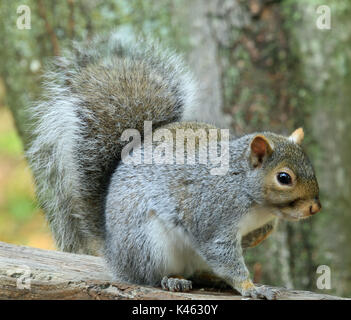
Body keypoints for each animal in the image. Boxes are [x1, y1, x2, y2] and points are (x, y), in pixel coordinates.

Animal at [26, 31, 322, 298]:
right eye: (284, 178)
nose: (315, 208)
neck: (247, 192)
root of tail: (114, 252)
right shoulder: (212, 219)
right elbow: (224, 256)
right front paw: (250, 287)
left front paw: (254, 240)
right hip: (149, 245)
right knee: (150, 275)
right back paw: (172, 280)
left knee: (199, 272)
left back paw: (212, 279)